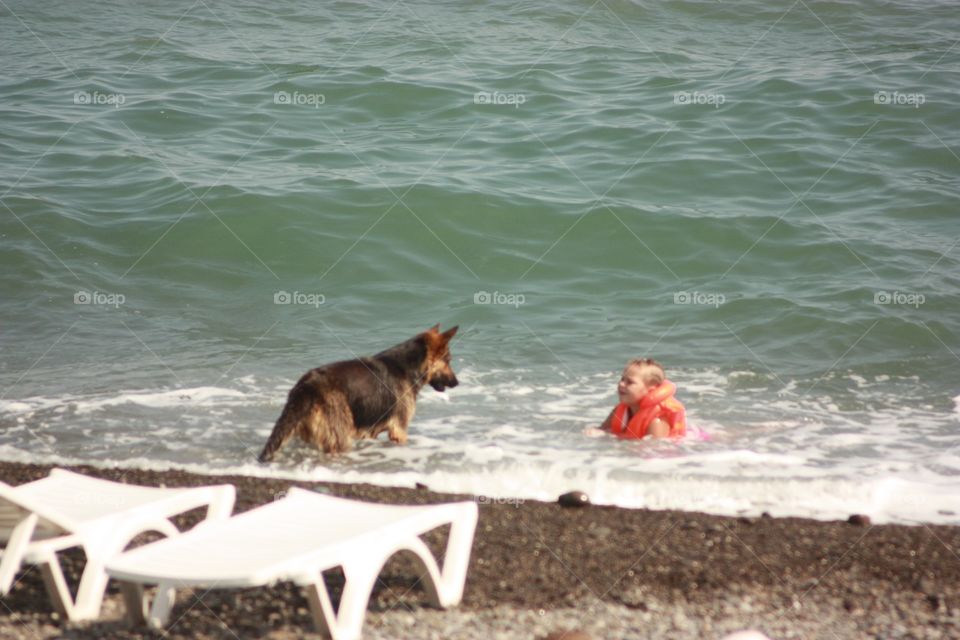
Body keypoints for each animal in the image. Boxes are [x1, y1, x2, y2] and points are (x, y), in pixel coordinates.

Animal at [260, 324, 460, 460]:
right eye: (448, 360)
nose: (457, 383)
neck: (407, 367)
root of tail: (307, 385)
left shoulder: (373, 431)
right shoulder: (399, 430)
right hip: (340, 436)